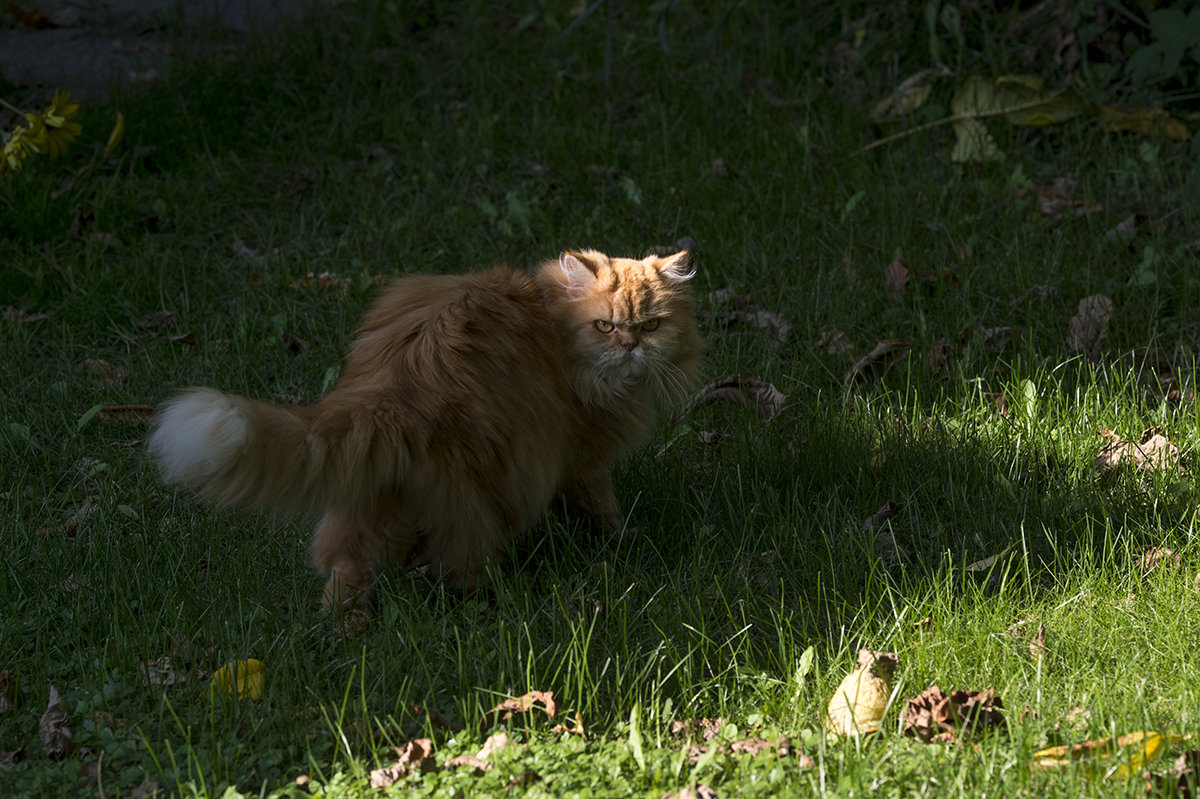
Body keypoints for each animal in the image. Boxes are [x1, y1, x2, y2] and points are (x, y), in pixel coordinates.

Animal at [147, 249, 700, 604]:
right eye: (605, 326)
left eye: (651, 325)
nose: (630, 346)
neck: (549, 316)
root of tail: (399, 385)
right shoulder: (582, 457)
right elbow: (605, 507)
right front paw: (625, 540)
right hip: (478, 501)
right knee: (460, 572)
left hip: (379, 498)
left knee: (346, 571)